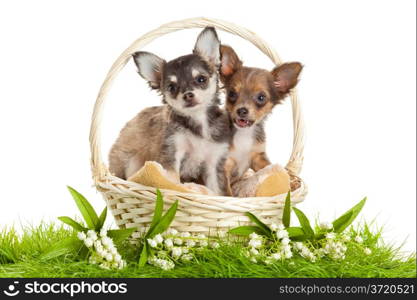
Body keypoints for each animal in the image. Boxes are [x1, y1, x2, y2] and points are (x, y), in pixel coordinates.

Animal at [107, 27, 231, 195]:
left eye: (201, 79)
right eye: (172, 87)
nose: (188, 95)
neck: (197, 120)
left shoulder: (213, 162)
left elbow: (216, 191)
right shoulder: (172, 152)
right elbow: (172, 181)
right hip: (133, 161)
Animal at [218, 45, 302, 193]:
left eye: (261, 98)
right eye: (232, 94)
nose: (242, 110)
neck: (244, 133)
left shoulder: (258, 157)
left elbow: (273, 168)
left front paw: (290, 183)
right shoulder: (222, 167)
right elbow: (226, 193)